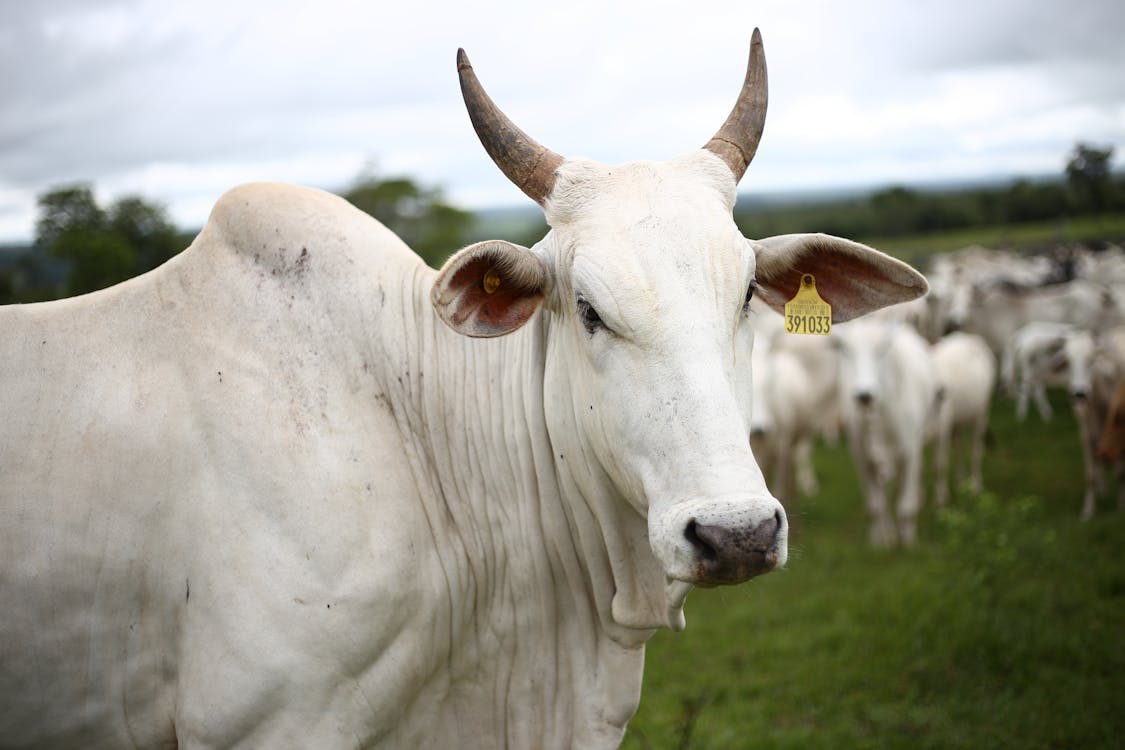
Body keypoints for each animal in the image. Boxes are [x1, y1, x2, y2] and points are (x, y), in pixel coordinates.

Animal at [832, 319, 936, 546]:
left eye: (881, 350)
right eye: (846, 350)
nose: (864, 394)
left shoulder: (911, 451)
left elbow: (906, 504)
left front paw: (908, 539)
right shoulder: (860, 455)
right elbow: (875, 504)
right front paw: (881, 538)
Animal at [927, 332, 999, 503]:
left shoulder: (942, 431)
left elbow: (939, 465)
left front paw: (941, 498)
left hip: (982, 413)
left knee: (976, 449)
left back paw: (975, 487)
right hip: (957, 421)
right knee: (959, 448)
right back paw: (961, 483)